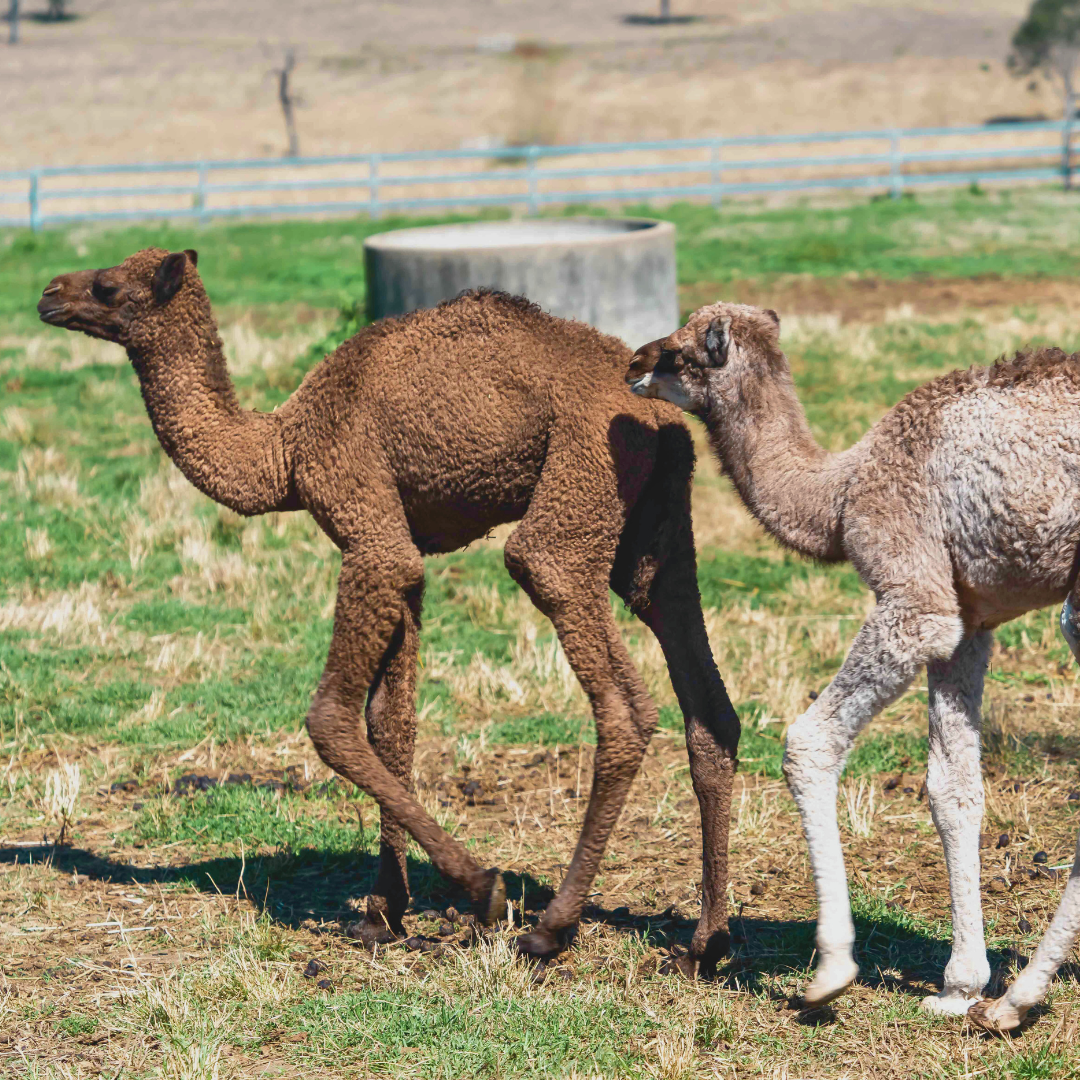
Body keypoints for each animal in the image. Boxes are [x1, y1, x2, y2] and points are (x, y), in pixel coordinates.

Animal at [37, 247, 740, 972]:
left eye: (108, 285)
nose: (49, 294)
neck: (284, 448)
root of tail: (658, 412)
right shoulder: (406, 556)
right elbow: (392, 724)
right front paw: (383, 911)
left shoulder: (369, 529)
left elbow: (331, 720)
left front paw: (479, 888)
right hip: (653, 520)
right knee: (703, 693)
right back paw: (704, 944)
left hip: (582, 479)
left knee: (600, 665)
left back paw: (552, 927)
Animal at [626, 301, 1080, 1016]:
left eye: (681, 351)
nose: (635, 364)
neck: (839, 495)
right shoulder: (967, 621)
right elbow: (952, 788)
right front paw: (958, 986)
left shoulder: (914, 597)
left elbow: (809, 741)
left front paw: (830, 970)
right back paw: (1011, 994)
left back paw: (1022, 996)